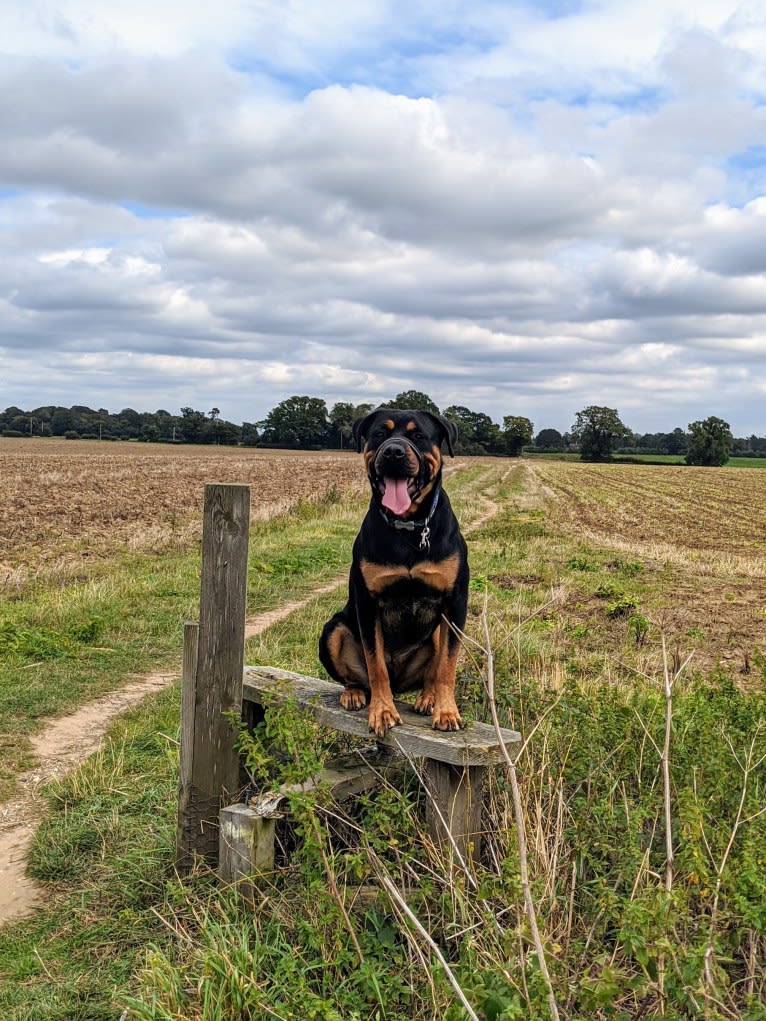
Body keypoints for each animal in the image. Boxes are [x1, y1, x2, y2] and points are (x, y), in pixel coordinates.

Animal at [316, 406, 467, 735]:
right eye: (379, 434)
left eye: (418, 435)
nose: (394, 451)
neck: (409, 528)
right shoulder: (367, 603)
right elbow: (376, 667)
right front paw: (383, 711)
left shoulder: (455, 603)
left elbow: (447, 666)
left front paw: (446, 712)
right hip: (334, 628)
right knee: (356, 676)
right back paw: (354, 694)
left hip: (436, 630)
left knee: (433, 669)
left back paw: (428, 698)